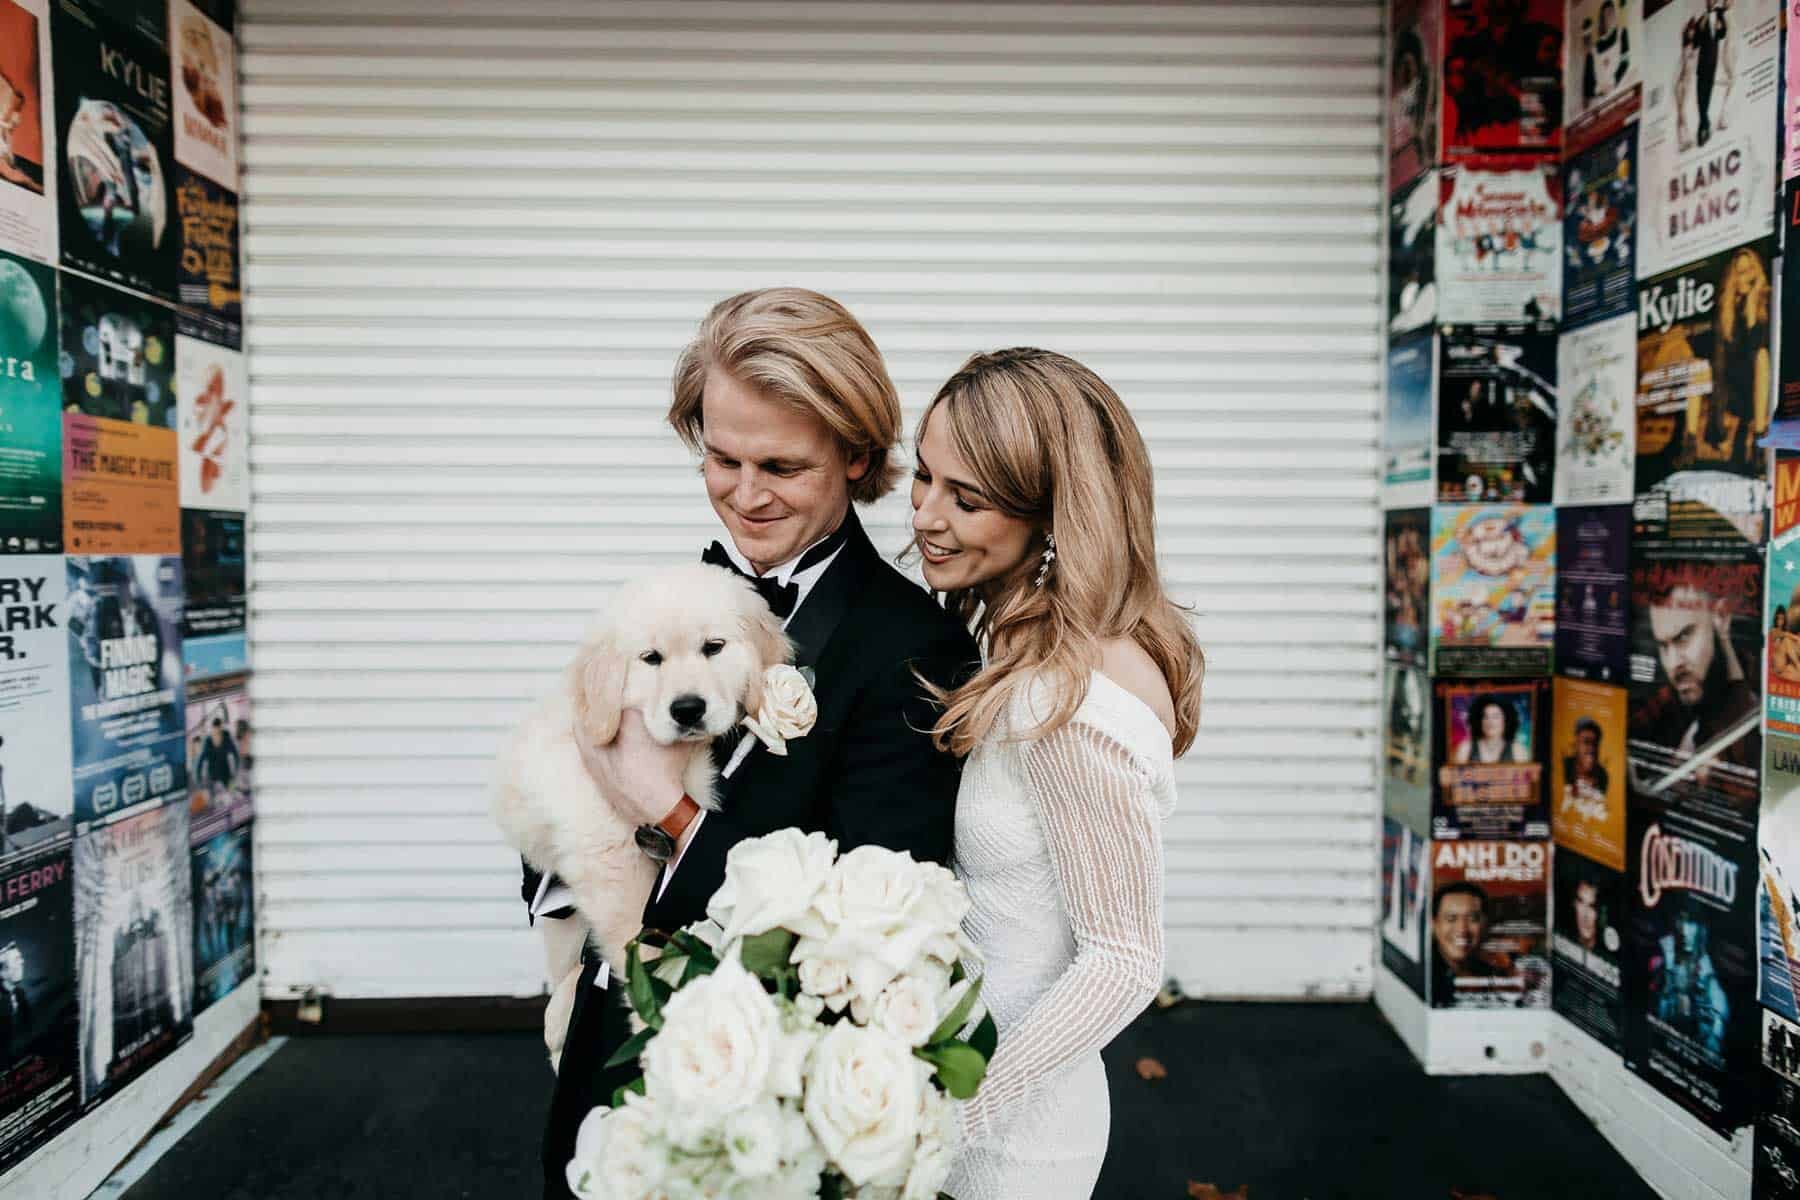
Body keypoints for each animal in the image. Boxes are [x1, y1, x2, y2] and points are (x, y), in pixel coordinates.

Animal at [489, 564, 784, 1072]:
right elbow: (639, 938)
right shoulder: (606, 850)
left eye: (714, 647)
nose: (687, 709)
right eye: (651, 659)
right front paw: (657, 1013)